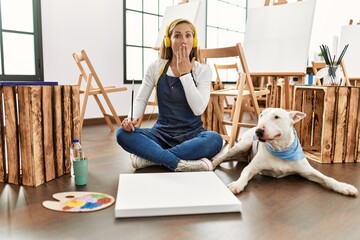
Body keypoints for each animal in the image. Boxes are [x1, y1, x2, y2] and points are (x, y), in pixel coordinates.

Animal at [212, 108, 358, 196]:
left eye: (276, 117)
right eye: (261, 115)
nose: (258, 131)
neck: (280, 149)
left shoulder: (308, 171)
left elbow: (327, 178)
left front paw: (344, 187)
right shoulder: (252, 167)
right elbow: (244, 174)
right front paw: (237, 184)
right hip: (243, 145)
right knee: (224, 156)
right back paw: (213, 162)